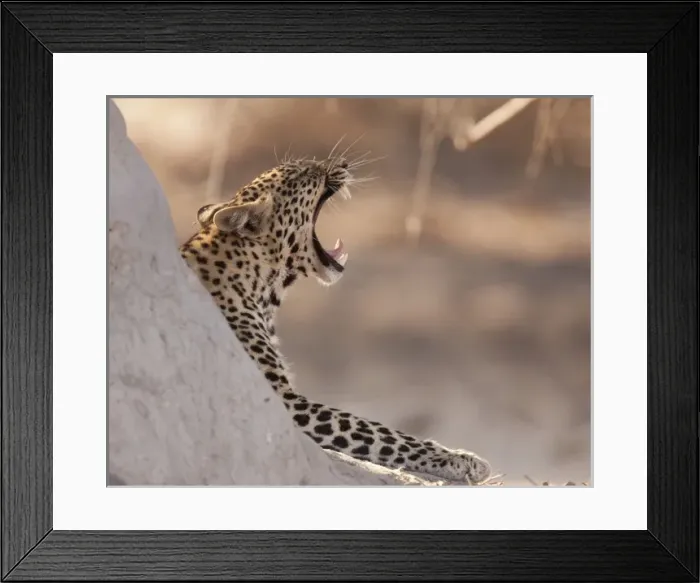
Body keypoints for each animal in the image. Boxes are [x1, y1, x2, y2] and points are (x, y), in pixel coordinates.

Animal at [179, 153, 492, 484]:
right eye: (304, 173)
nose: (342, 164)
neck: (262, 286)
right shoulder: (285, 402)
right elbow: (372, 428)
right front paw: (459, 458)